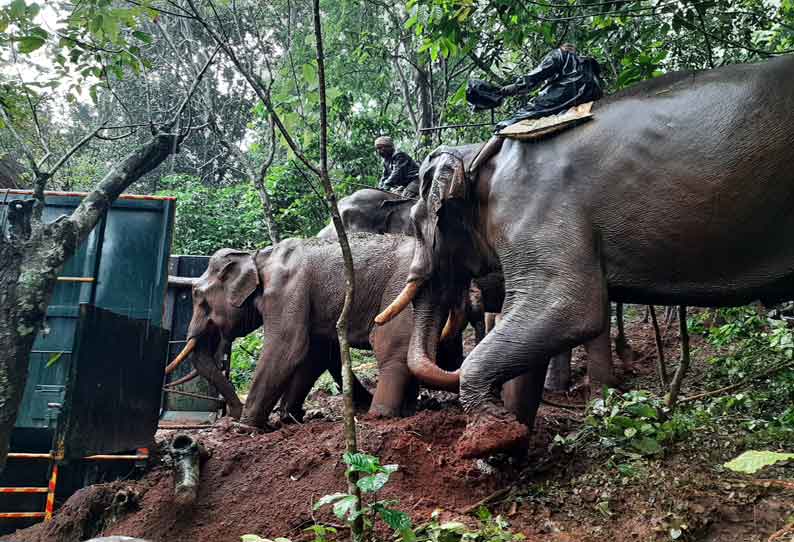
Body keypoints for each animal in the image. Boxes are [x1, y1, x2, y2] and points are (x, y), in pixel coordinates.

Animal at [167, 234, 464, 430]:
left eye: (198, 297)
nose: (232, 415)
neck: (257, 256)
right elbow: (314, 353)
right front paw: (289, 419)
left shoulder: (287, 292)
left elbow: (287, 348)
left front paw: (249, 428)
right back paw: (410, 411)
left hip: (401, 289)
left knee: (390, 347)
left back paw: (380, 416)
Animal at [374, 56, 792, 460]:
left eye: (416, 226)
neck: (477, 153)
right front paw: (505, 451)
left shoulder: (537, 207)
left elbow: (569, 308)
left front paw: (486, 440)